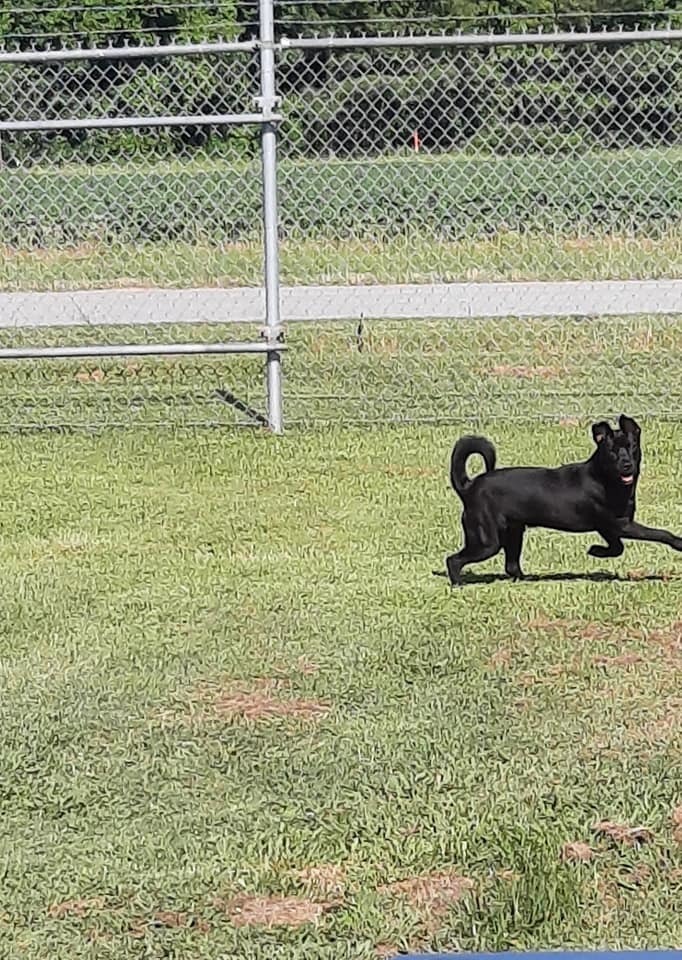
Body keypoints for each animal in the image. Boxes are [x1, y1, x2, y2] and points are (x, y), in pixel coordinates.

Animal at [446, 414, 680, 584]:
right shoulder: (620, 525)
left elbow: (617, 547)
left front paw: (596, 551)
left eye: (632, 447)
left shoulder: (609, 528)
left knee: (510, 565)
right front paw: (679, 543)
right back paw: (459, 583)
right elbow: (659, 534)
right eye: (612, 452)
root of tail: (469, 486)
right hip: (487, 541)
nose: (626, 465)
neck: (605, 477)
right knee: (453, 560)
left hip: (513, 532)